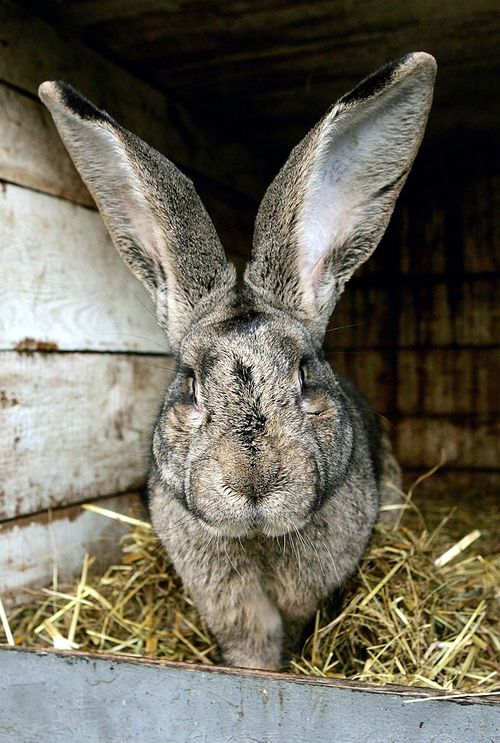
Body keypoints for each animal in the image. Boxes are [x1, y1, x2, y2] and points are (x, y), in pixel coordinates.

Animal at [39, 50, 436, 668]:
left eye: (305, 373)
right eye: (190, 383)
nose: (254, 483)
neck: (257, 539)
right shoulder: (228, 599)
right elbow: (250, 642)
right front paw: (257, 670)